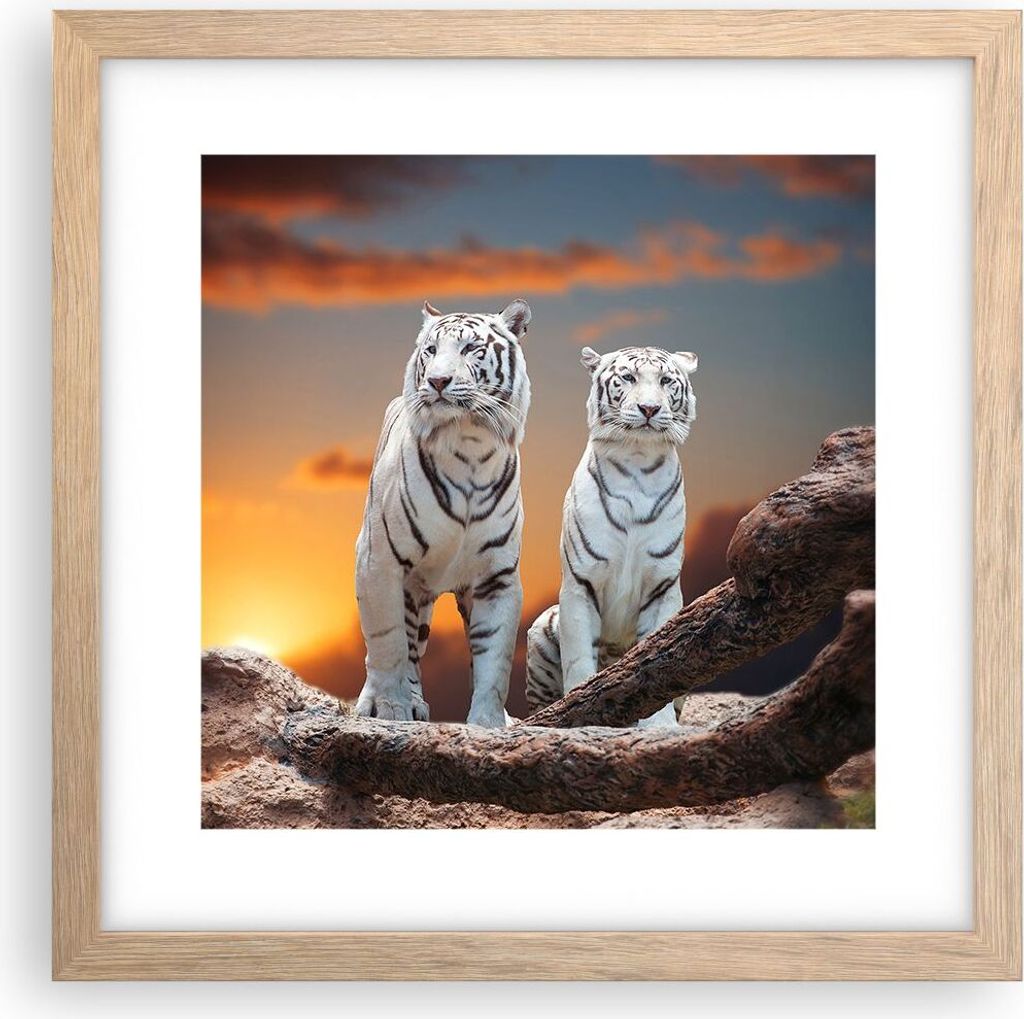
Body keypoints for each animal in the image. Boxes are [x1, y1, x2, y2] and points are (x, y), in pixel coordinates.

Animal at [353, 299, 532, 728]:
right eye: (431, 351)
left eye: (471, 349)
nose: (437, 381)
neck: (469, 443)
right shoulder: (378, 560)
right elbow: (387, 644)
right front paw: (390, 710)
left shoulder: (497, 576)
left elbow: (495, 659)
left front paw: (489, 723)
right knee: (400, 647)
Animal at [526, 344, 698, 727]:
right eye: (628, 378)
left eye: (666, 381)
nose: (649, 408)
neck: (638, 461)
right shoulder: (580, 582)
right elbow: (579, 660)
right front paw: (579, 712)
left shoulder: (663, 586)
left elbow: (661, 659)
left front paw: (660, 726)